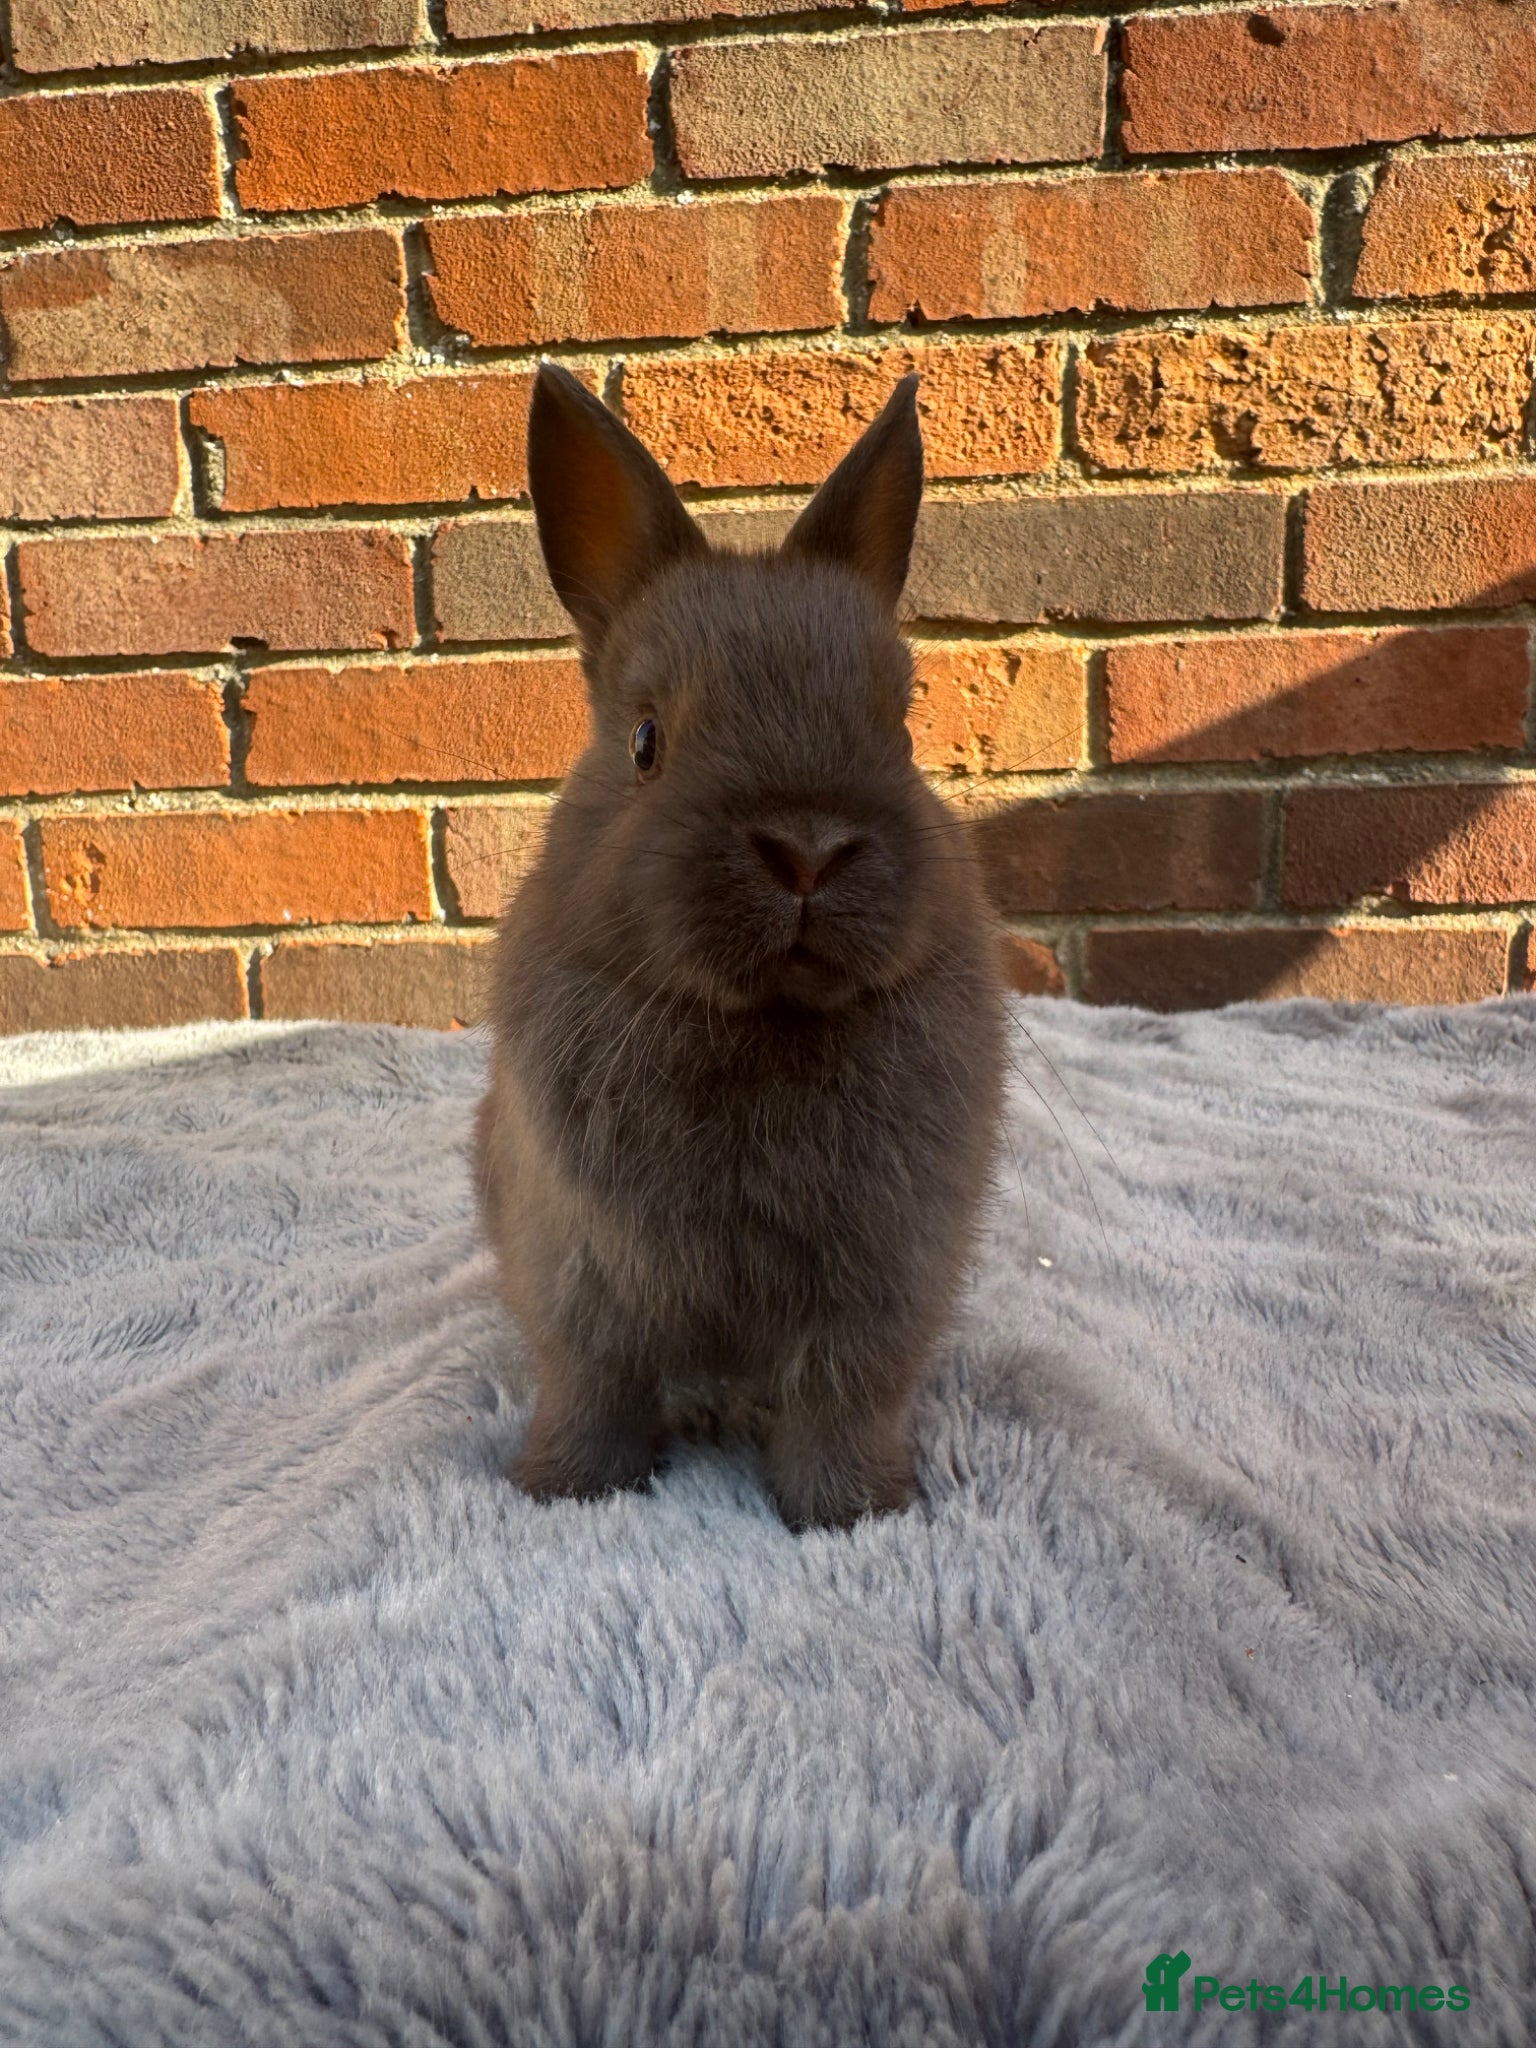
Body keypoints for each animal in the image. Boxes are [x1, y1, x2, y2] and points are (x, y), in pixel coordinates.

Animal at [475, 362, 1006, 1531]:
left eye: (902, 728)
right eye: (645, 742)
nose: (807, 849)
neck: (764, 1024)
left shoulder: (879, 1288)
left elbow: (841, 1404)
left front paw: (855, 1517)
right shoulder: (583, 1282)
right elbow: (594, 1392)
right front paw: (562, 1494)